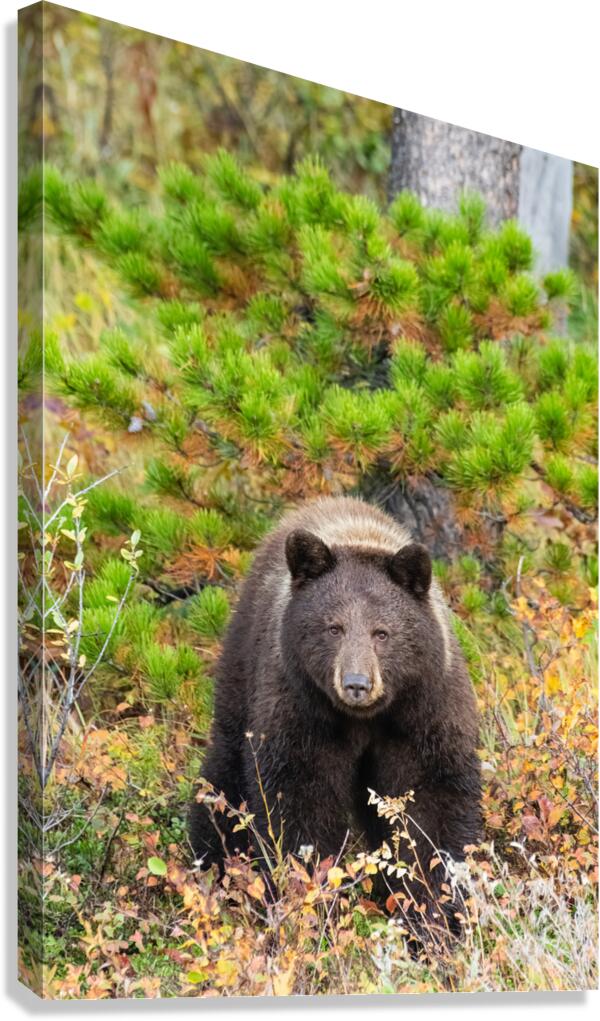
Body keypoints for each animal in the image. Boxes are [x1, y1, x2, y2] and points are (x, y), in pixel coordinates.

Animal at [190, 495, 481, 917]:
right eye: (334, 627)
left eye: (382, 632)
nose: (357, 683)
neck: (366, 719)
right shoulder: (300, 709)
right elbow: (298, 801)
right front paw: (311, 894)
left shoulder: (425, 709)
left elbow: (432, 803)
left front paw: (435, 908)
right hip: (242, 664)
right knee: (223, 774)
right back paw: (212, 864)